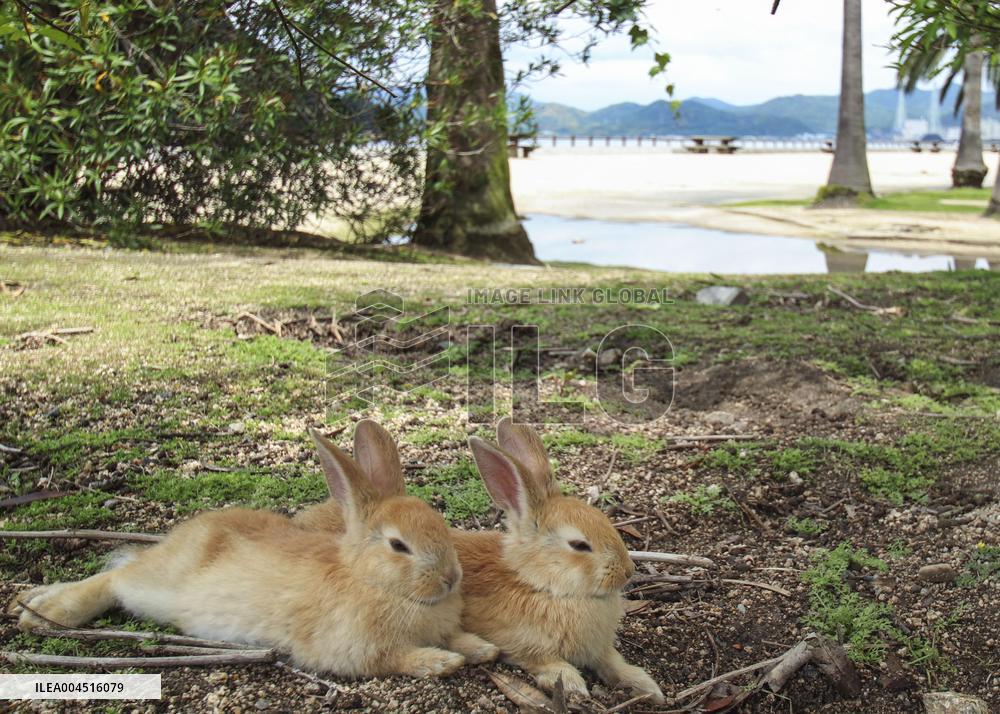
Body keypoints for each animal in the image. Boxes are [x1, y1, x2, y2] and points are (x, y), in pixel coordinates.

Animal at [8, 422, 499, 679]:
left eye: (440, 525)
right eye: (398, 545)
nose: (450, 579)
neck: (371, 580)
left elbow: (460, 637)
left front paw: (482, 650)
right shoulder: (355, 650)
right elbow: (398, 658)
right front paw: (444, 661)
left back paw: (32, 602)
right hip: (156, 590)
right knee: (115, 578)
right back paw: (45, 612)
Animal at [295, 418, 663, 703]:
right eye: (579, 545)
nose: (627, 572)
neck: (538, 583)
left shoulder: (600, 650)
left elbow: (614, 662)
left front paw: (648, 686)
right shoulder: (520, 644)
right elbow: (546, 663)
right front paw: (572, 685)